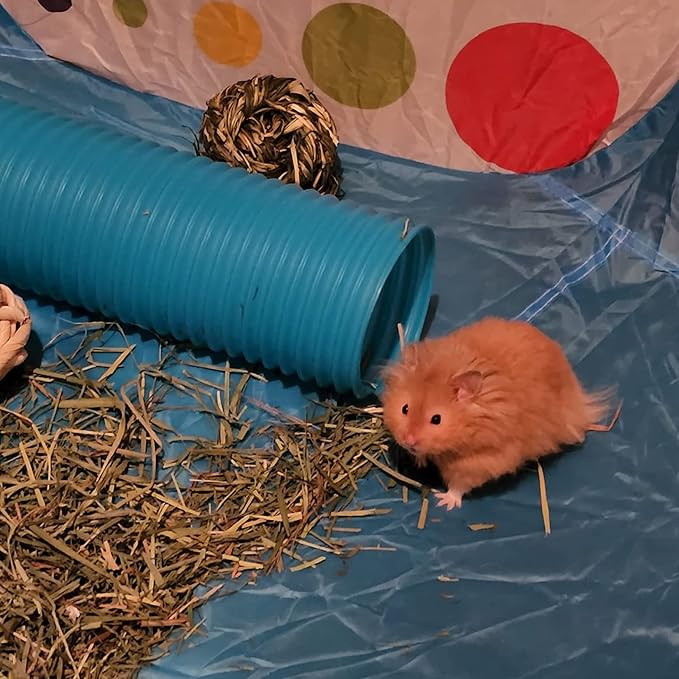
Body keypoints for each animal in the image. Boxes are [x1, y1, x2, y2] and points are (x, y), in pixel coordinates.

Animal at [380, 317, 620, 510]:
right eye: (404, 408)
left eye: (436, 419)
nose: (409, 441)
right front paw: (419, 460)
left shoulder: (482, 461)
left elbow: (459, 484)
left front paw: (445, 502)